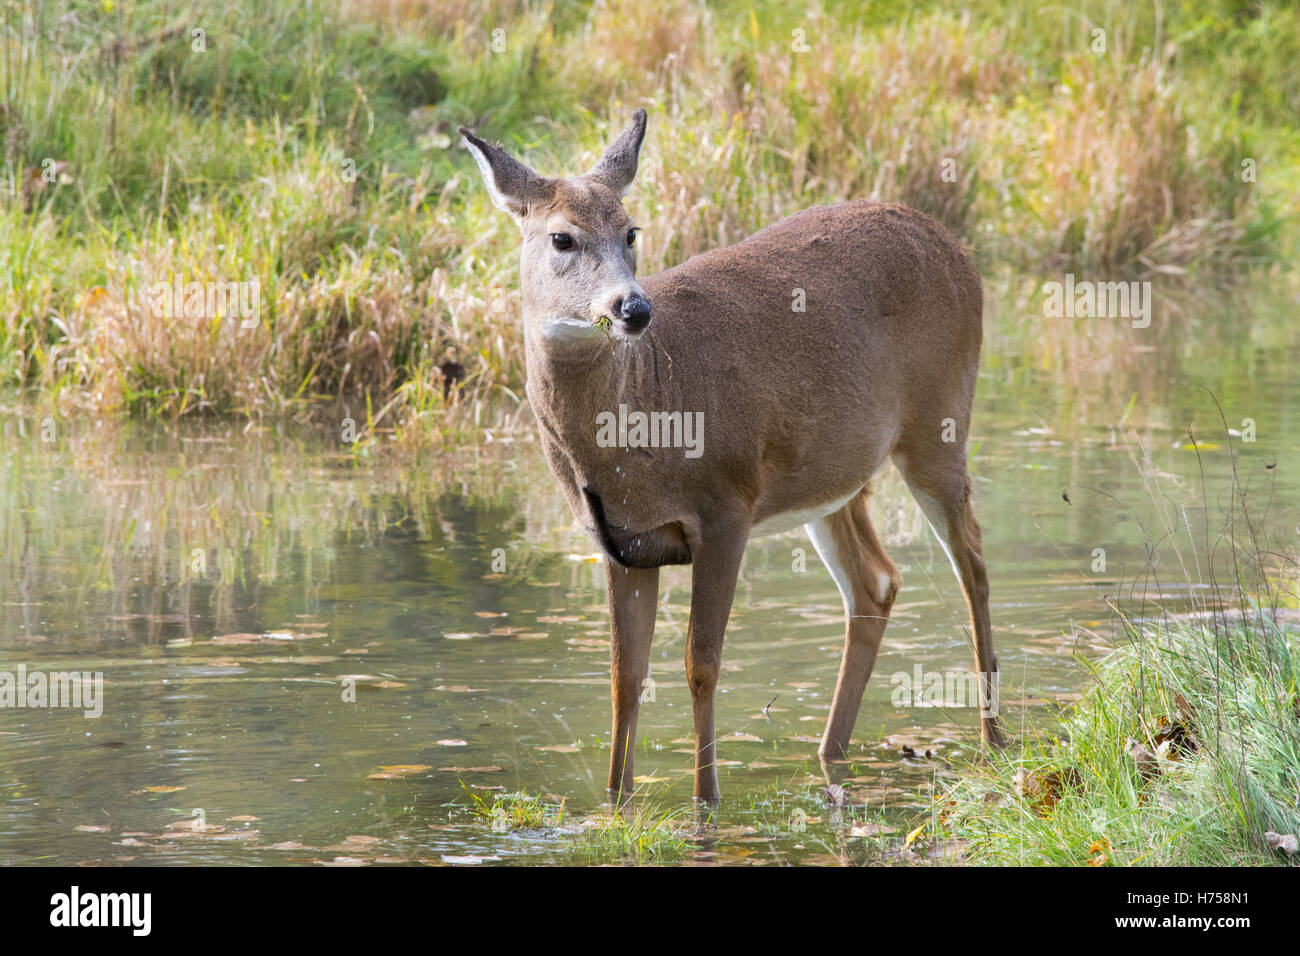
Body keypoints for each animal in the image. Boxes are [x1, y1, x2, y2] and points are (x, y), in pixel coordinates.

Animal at [460, 109, 1004, 804]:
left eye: (631, 230)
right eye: (561, 238)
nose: (632, 308)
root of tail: (955, 246)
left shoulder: (727, 504)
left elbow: (702, 663)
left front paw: (707, 799)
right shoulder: (618, 541)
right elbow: (624, 676)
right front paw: (614, 802)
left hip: (939, 422)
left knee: (974, 565)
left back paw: (994, 740)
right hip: (833, 476)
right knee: (876, 581)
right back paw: (831, 751)